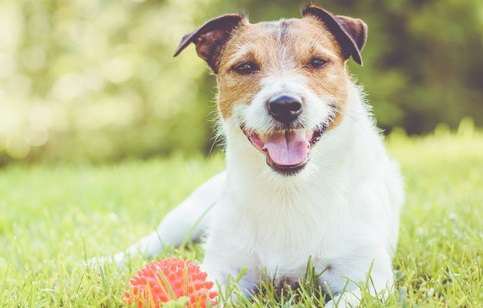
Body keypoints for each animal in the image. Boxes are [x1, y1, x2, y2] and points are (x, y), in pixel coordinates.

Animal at [98, 5, 404, 308]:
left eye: (317, 62)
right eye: (245, 67)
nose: (285, 105)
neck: (289, 190)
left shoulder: (368, 281)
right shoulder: (222, 270)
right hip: (185, 218)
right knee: (148, 244)